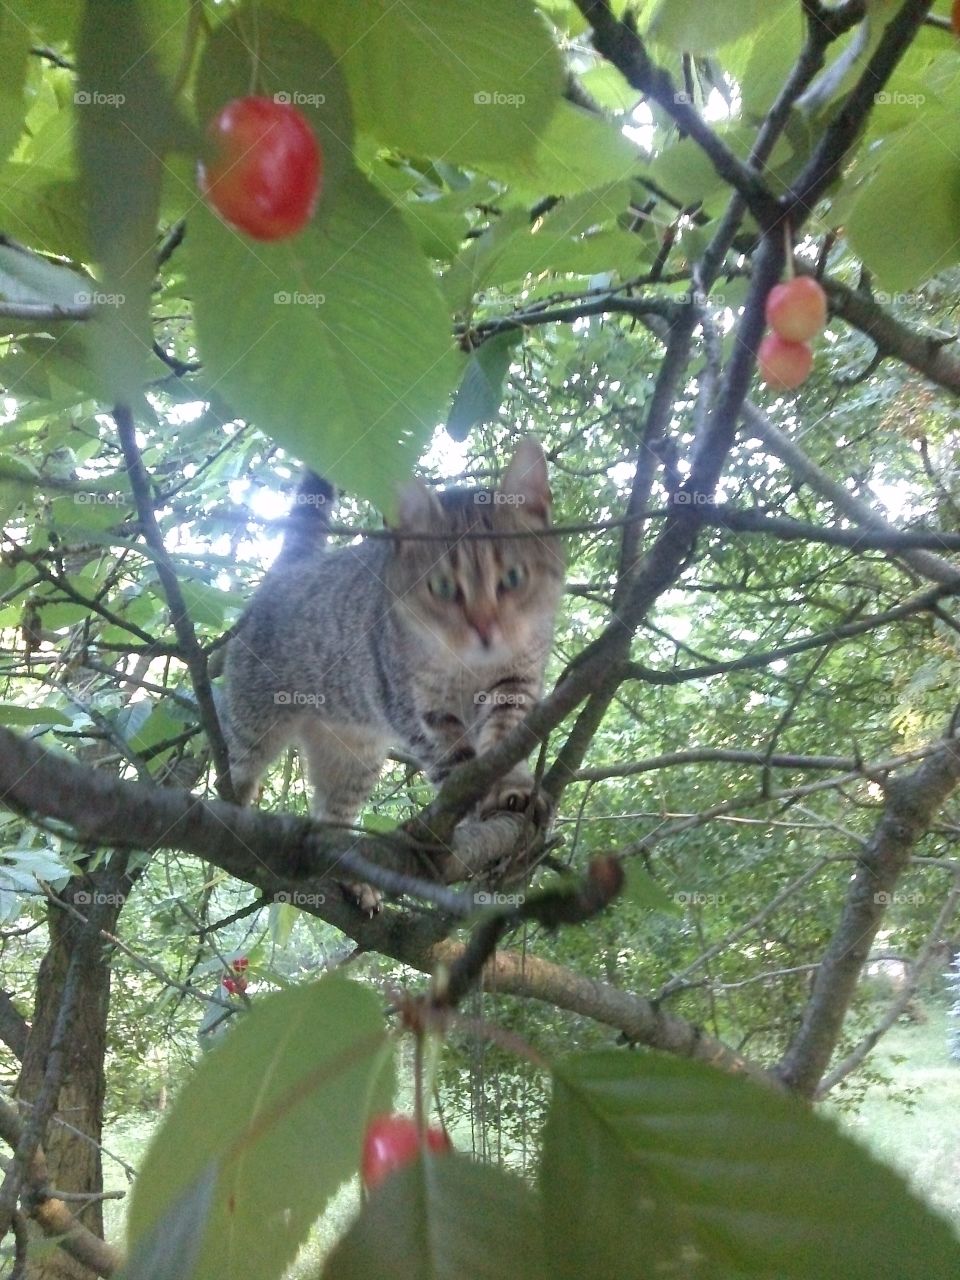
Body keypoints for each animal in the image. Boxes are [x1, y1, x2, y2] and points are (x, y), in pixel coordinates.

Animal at [224, 440, 563, 911]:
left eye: (513, 577)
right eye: (442, 587)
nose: (484, 628)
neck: (470, 666)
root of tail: (294, 569)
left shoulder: (515, 684)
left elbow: (503, 741)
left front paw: (511, 787)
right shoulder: (416, 707)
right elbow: (454, 763)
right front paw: (476, 797)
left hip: (355, 761)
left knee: (331, 820)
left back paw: (350, 876)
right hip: (254, 724)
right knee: (238, 766)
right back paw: (234, 805)